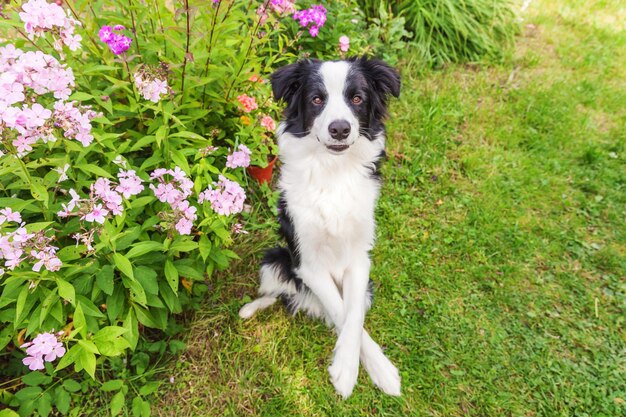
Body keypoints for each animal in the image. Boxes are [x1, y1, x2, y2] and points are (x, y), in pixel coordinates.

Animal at [239, 57, 400, 396]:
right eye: (316, 99)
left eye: (357, 98)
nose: (339, 129)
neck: (333, 171)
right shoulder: (308, 263)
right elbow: (340, 309)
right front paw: (346, 371)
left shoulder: (360, 259)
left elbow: (352, 315)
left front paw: (380, 370)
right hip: (274, 258)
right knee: (278, 292)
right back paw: (250, 308)